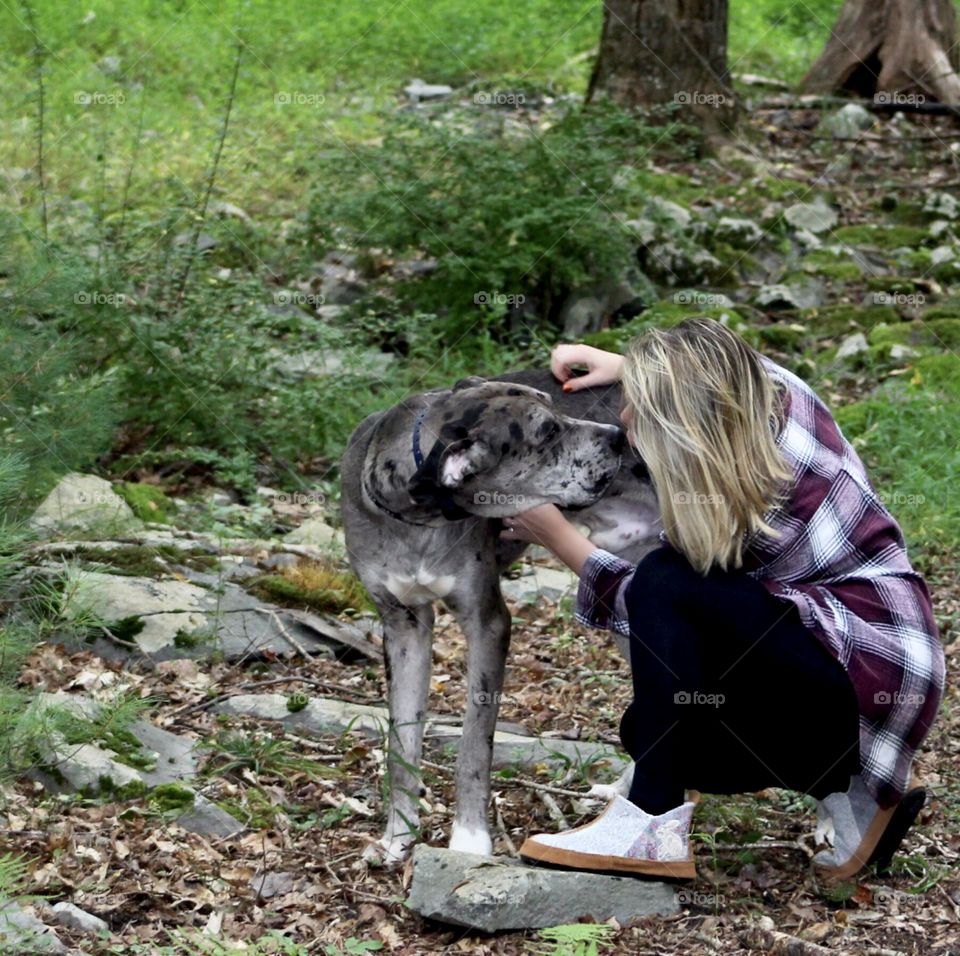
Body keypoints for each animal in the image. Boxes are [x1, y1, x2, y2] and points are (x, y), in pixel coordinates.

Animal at [342, 370, 664, 864]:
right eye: (546, 432)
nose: (618, 435)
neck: (416, 519)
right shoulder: (403, 625)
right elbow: (401, 742)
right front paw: (398, 836)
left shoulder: (487, 621)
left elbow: (475, 740)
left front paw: (469, 839)